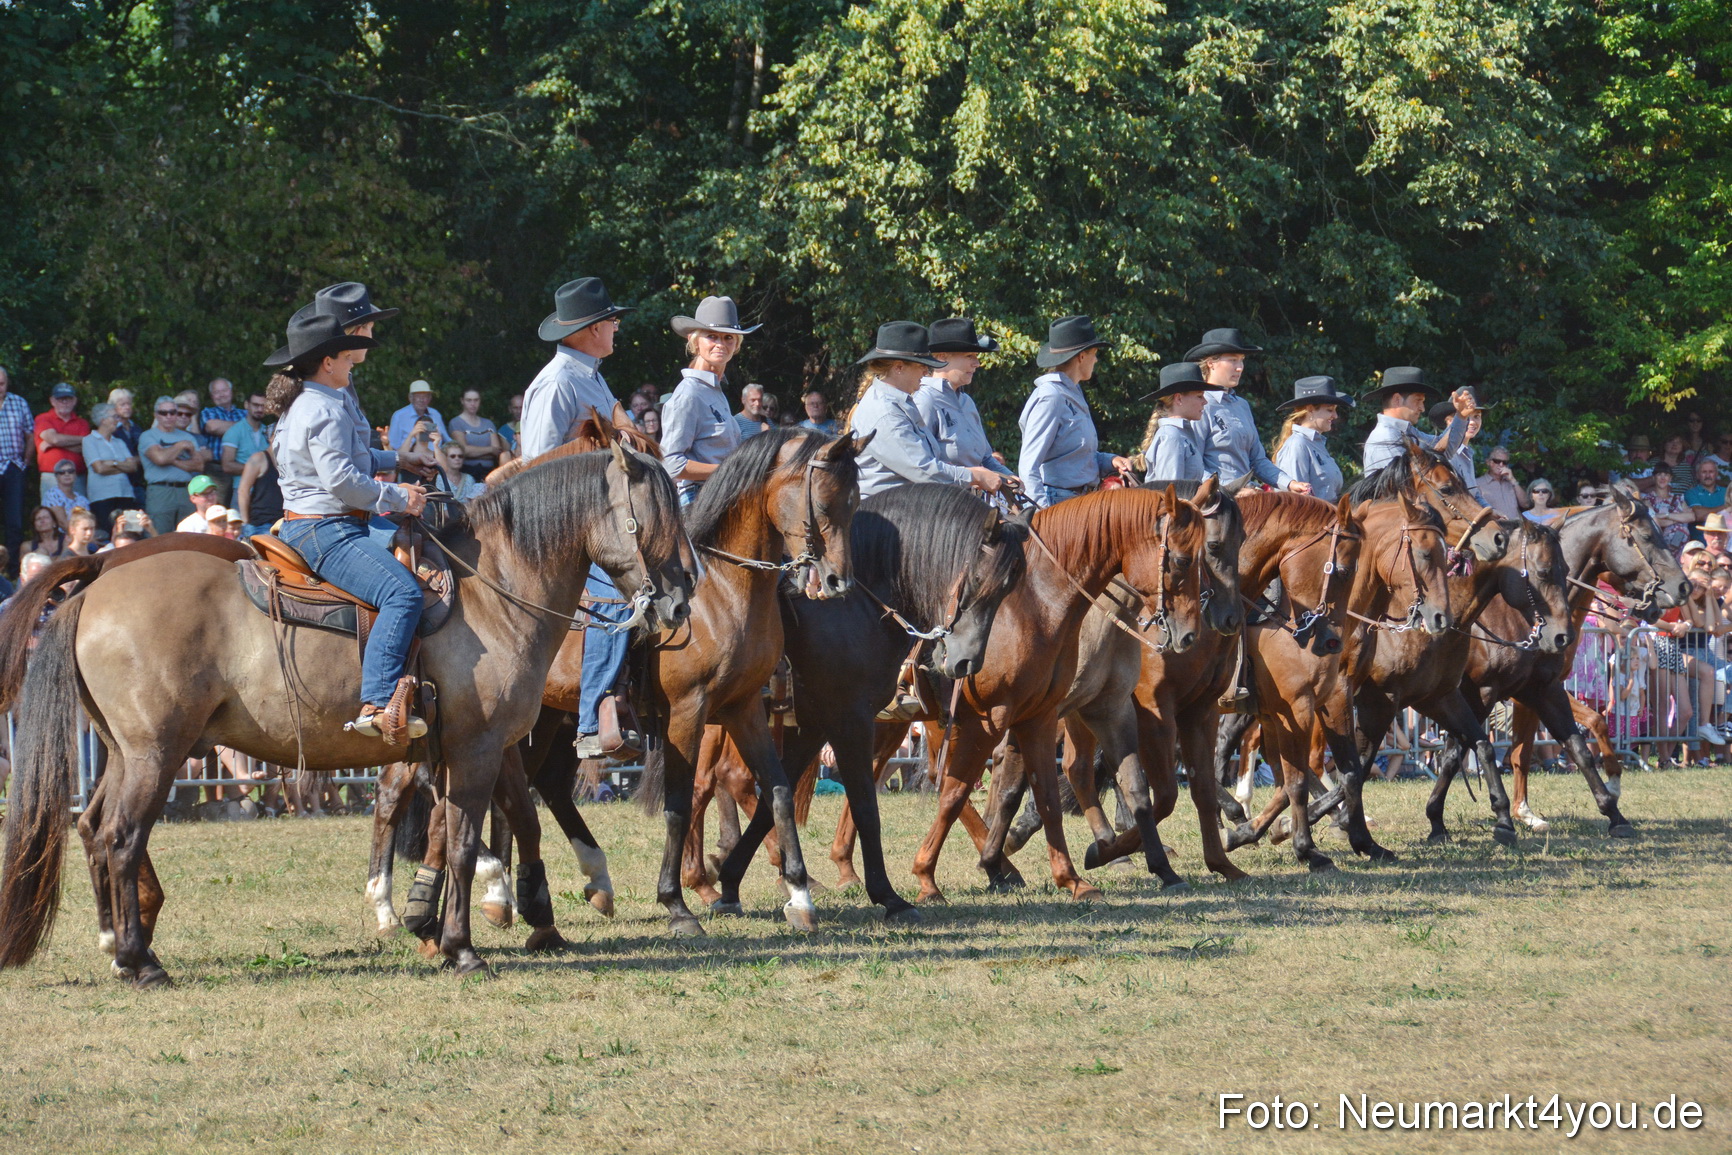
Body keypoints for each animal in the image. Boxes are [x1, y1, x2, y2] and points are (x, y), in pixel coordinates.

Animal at [0, 435, 693, 983]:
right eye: (650, 517)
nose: (682, 600)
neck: (493, 587)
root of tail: (96, 580)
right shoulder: (478, 747)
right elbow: (466, 838)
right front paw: (464, 945)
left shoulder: (456, 750)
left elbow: (462, 828)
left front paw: (444, 922)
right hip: (157, 753)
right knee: (121, 835)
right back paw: (141, 961)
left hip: (123, 751)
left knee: (94, 829)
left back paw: (122, 947)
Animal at [1459, 489, 1687, 838]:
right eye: (1647, 536)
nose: (1683, 586)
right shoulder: (1521, 693)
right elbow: (1525, 750)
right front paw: (1521, 811)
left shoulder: (1541, 690)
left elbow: (1580, 728)